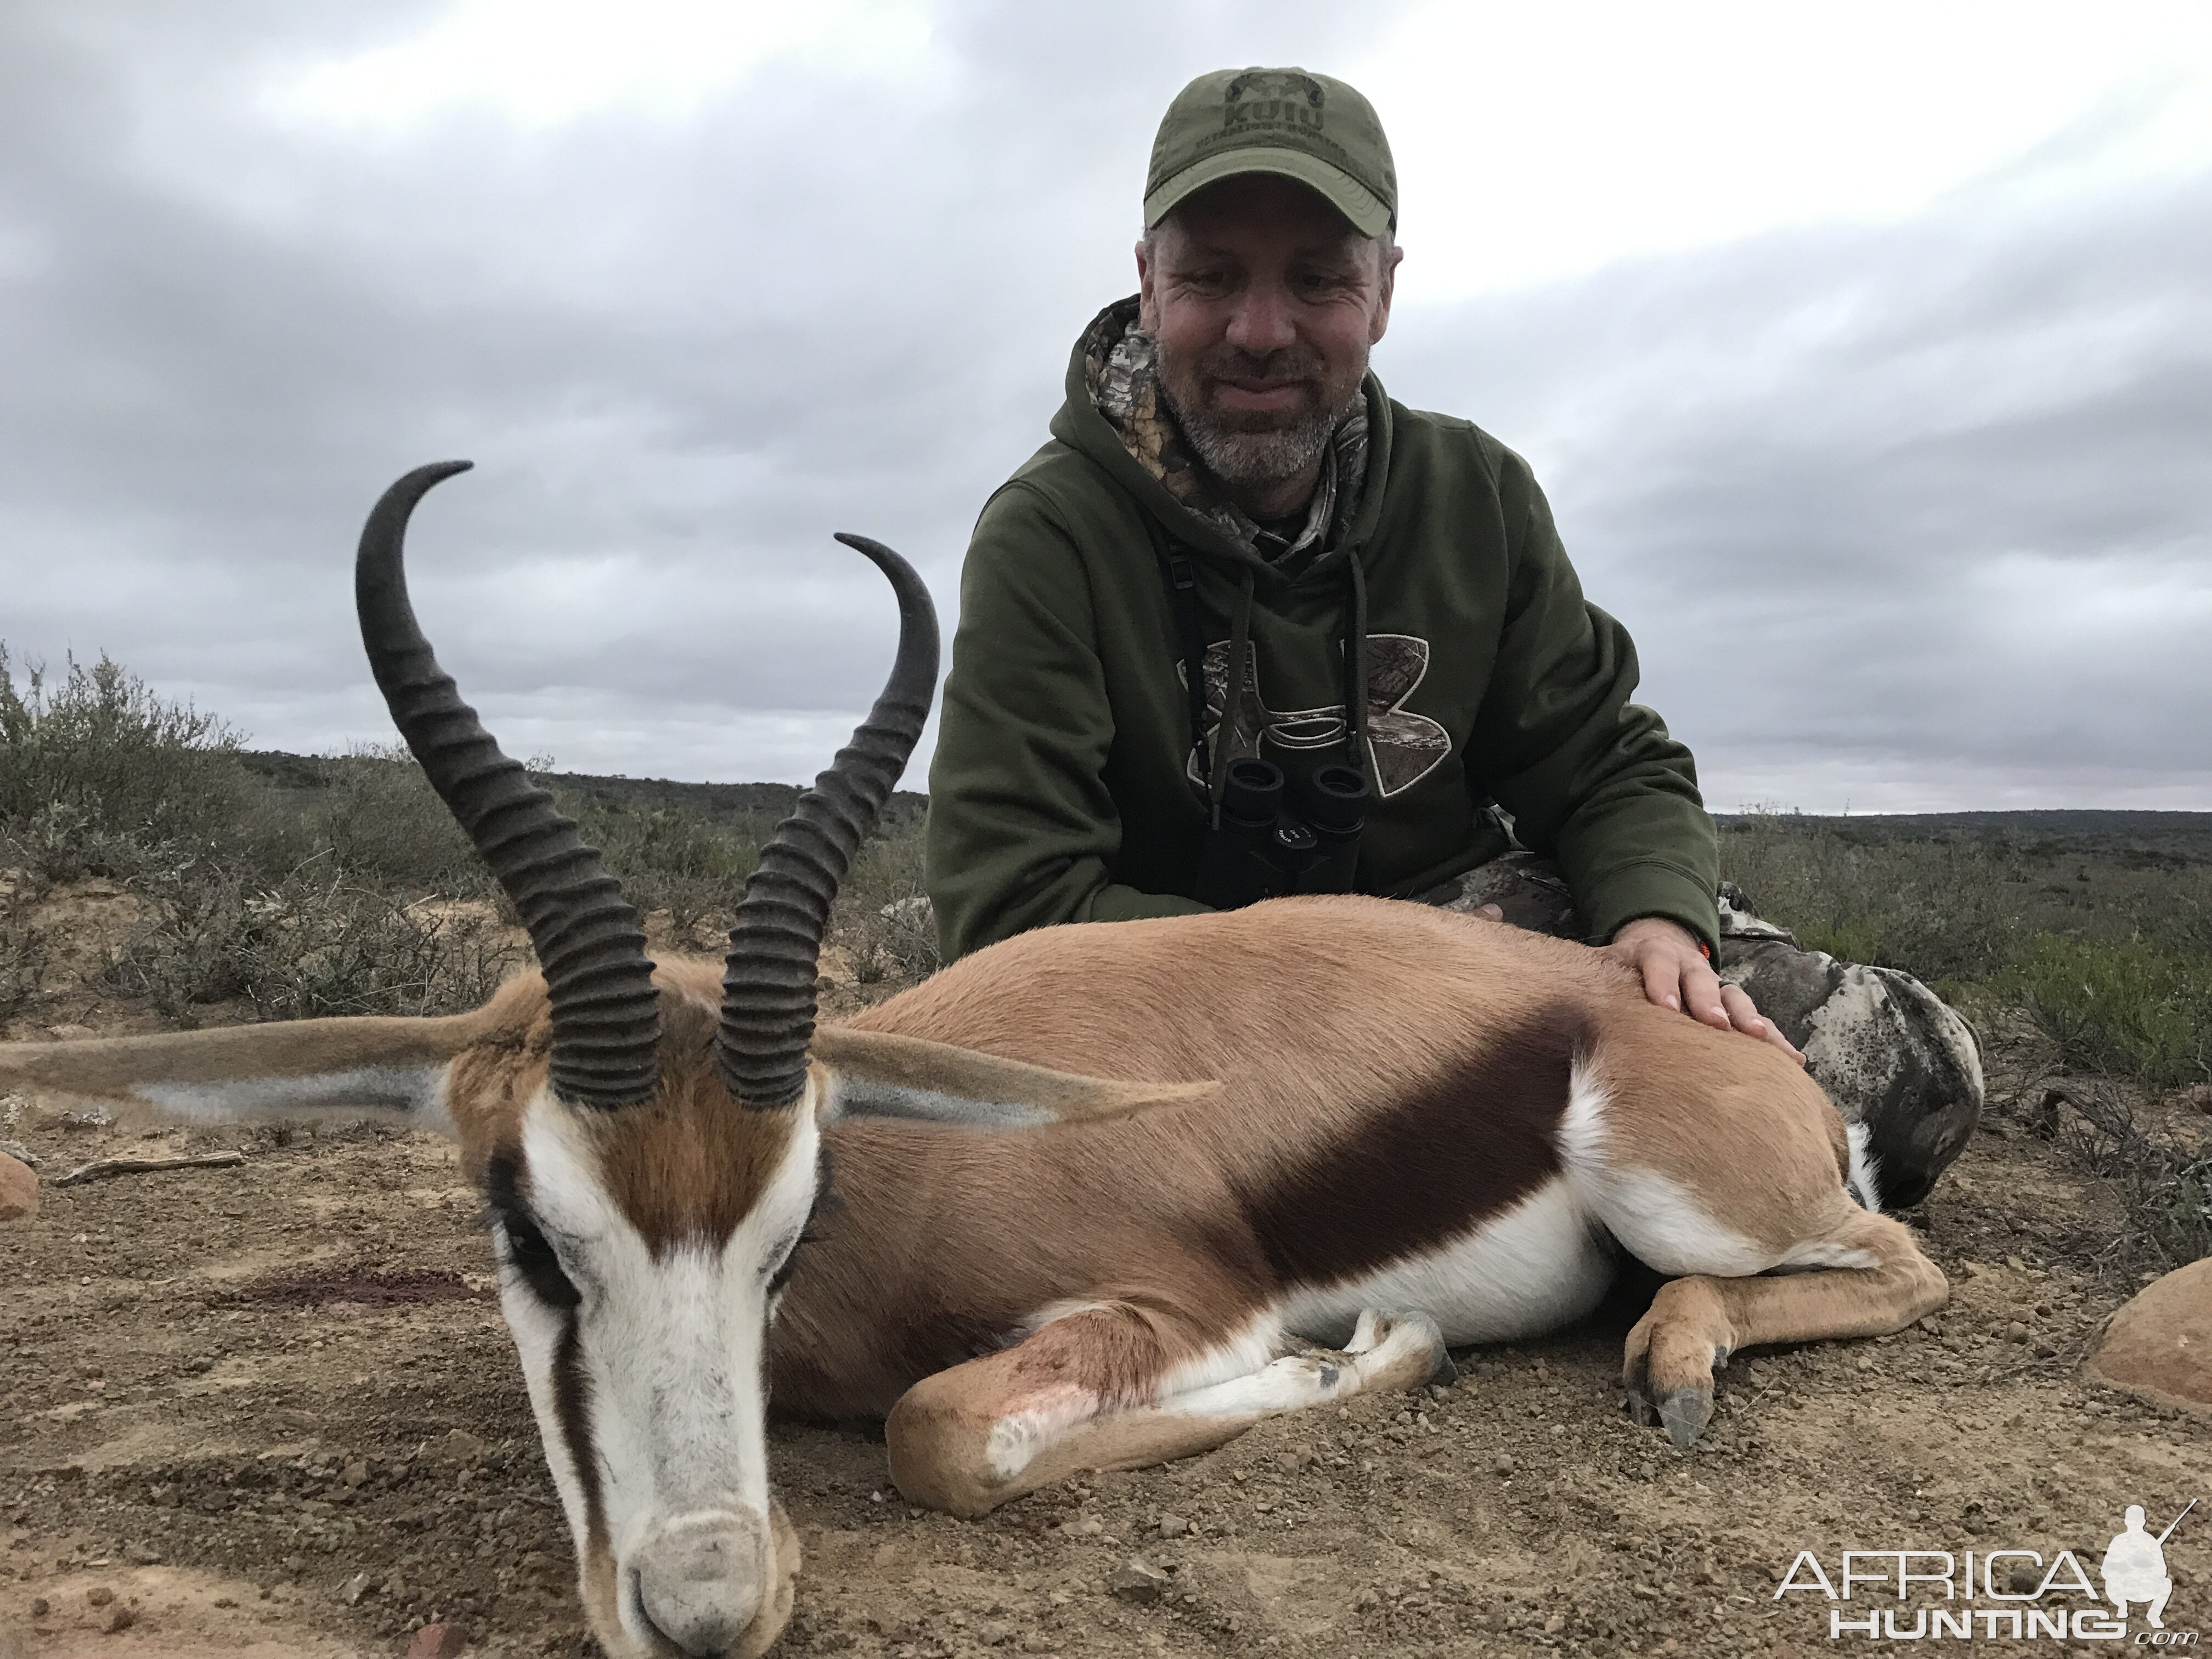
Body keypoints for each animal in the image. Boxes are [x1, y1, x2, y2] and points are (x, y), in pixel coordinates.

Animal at [0, 464, 1946, 1659]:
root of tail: (1653, 1004)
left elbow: (943, 1433)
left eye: (791, 1227)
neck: (919, 1175)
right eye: (531, 1232)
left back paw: (1674, 1363)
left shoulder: (1179, 1302)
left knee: (1902, 1269)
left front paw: (1364, 1357)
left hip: (1687, 1197)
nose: (708, 1610)